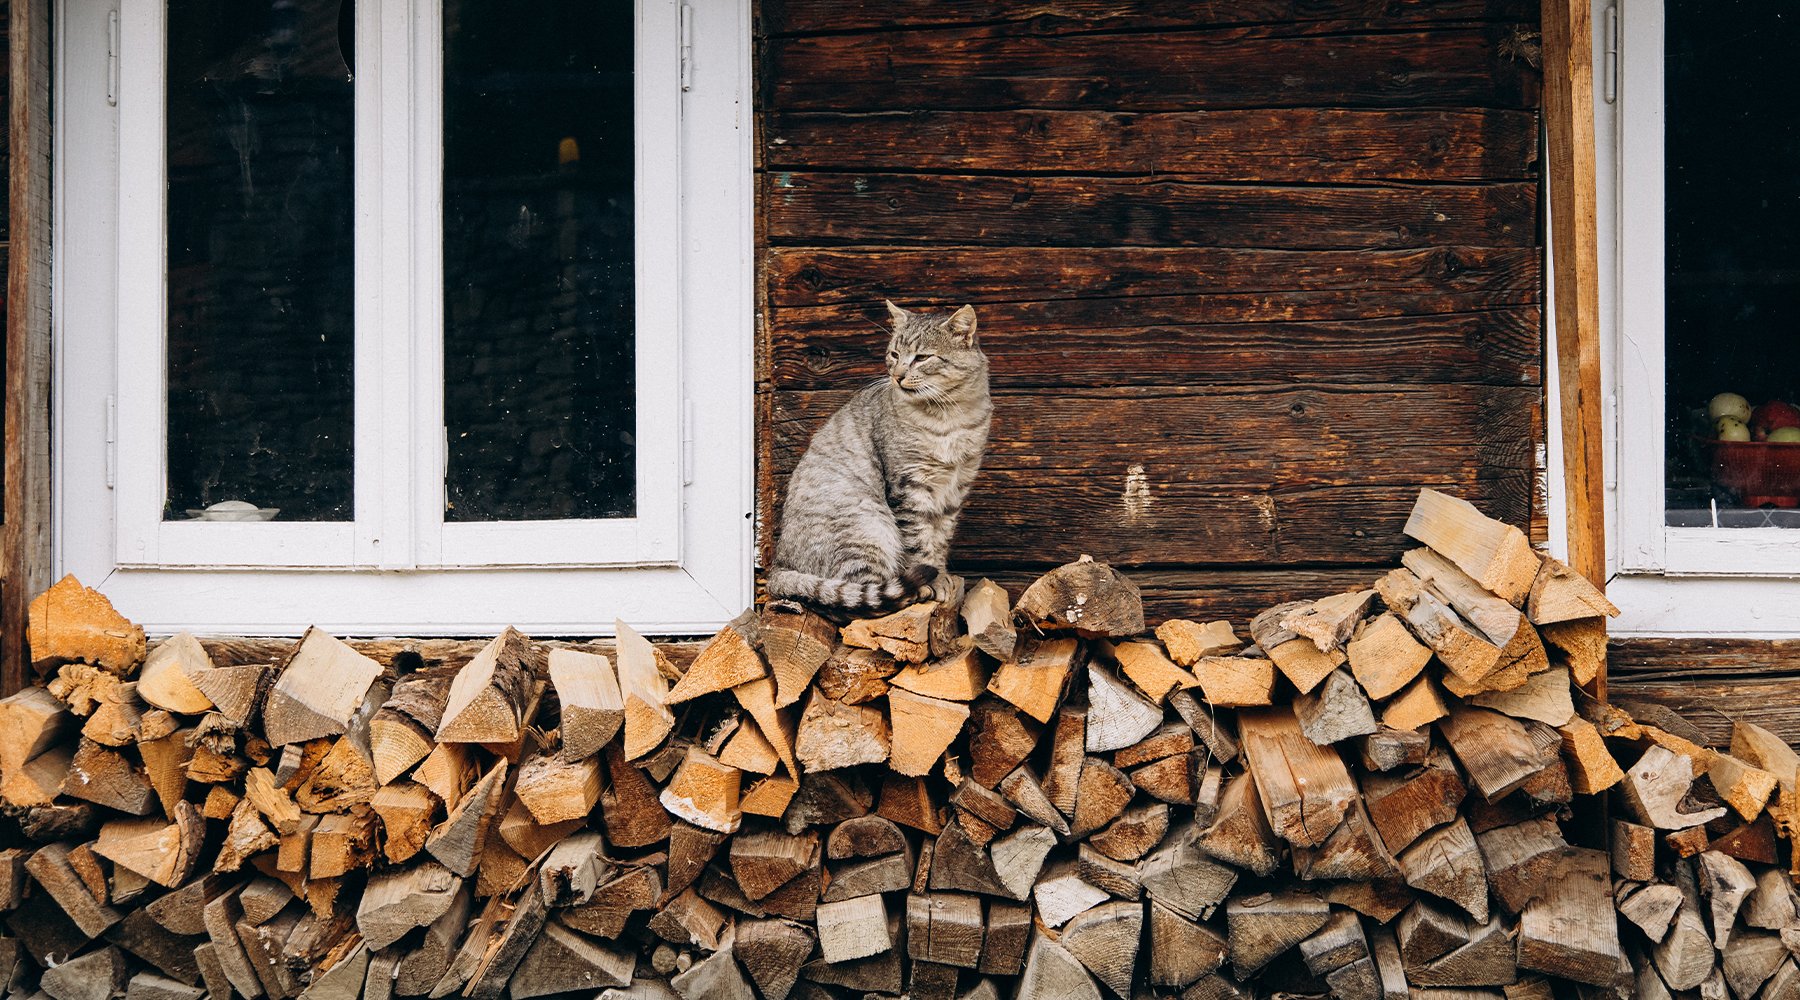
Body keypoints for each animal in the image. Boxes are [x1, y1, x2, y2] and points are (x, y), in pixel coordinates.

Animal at [766, 298, 993, 607]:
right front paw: (933, 581)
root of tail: (779, 564)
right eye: (895, 354)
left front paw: (942, 573)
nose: (897, 376)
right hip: (869, 528)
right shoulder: (909, 486)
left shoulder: (956, 487)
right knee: (855, 596)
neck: (949, 415)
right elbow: (918, 543)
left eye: (922, 358)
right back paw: (911, 591)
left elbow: (940, 539)